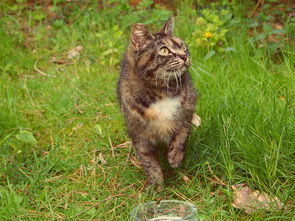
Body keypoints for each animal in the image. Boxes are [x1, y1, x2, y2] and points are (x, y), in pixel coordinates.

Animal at [117, 16, 197, 190]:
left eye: (183, 46)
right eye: (164, 50)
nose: (184, 55)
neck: (162, 91)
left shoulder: (188, 110)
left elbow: (181, 135)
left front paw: (175, 157)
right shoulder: (139, 135)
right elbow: (148, 162)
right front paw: (156, 185)